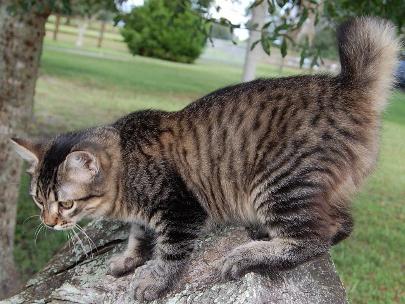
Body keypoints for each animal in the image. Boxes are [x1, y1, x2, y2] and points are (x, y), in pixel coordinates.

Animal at [11, 17, 398, 302]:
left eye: (65, 204)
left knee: (314, 237)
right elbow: (139, 236)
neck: (125, 168)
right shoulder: (148, 216)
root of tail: (345, 87)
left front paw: (151, 282)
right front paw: (128, 261)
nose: (48, 222)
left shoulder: (180, 209)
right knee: (342, 224)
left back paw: (245, 255)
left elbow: (169, 253)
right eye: (38, 200)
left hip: (279, 184)